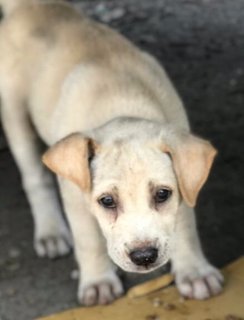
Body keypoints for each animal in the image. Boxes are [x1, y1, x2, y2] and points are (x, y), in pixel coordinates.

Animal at [0, 0, 223, 306]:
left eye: (162, 195)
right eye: (107, 201)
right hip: (14, 114)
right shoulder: (74, 196)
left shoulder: (186, 185)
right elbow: (89, 241)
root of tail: (31, 6)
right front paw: (98, 281)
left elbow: (186, 227)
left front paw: (194, 272)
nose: (144, 257)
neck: (121, 104)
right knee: (34, 178)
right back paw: (50, 231)